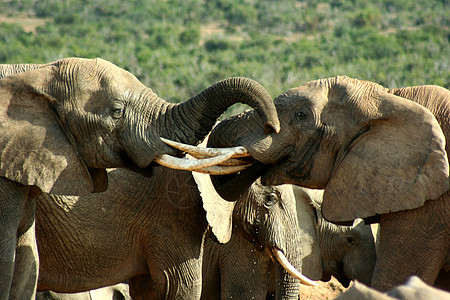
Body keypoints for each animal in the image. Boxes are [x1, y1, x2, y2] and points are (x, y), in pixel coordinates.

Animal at [0, 56, 282, 298]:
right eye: (117, 111)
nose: (272, 127)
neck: (40, 72)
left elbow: (27, 264)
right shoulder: (171, 214)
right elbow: (177, 285)